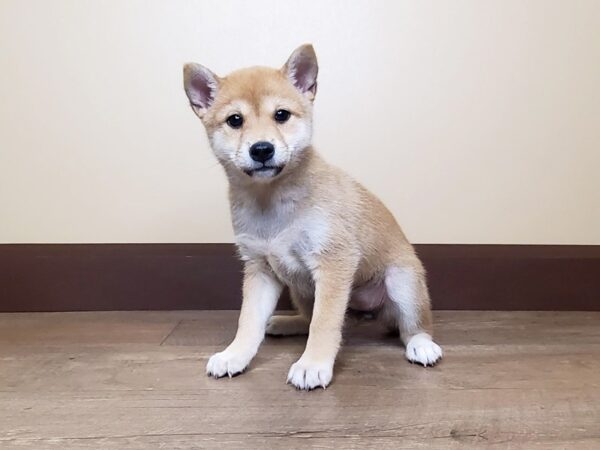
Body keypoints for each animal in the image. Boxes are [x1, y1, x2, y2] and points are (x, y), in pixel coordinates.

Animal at [183, 44, 440, 390]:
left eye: (281, 115)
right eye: (235, 120)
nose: (261, 150)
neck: (272, 201)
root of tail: (368, 312)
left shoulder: (333, 261)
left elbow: (324, 323)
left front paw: (313, 364)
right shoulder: (260, 269)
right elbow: (248, 321)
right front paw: (234, 355)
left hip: (402, 283)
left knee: (412, 326)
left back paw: (422, 345)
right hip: (300, 289)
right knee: (308, 318)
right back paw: (284, 323)